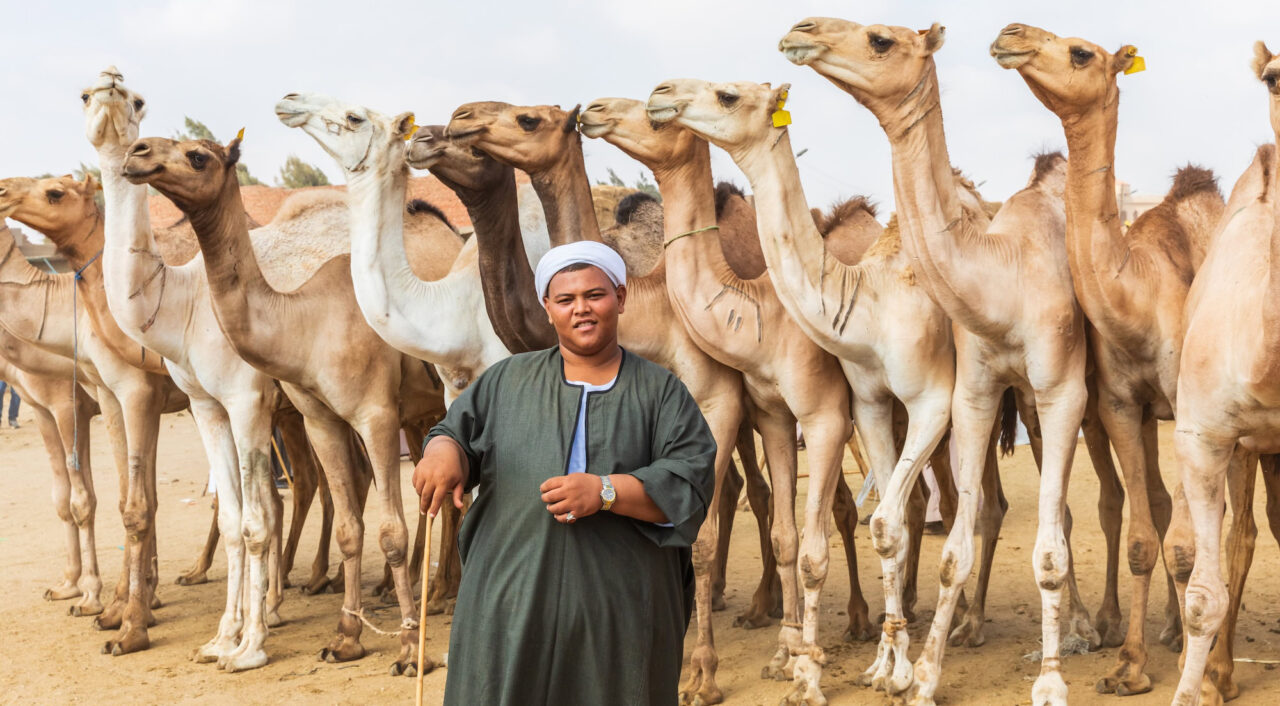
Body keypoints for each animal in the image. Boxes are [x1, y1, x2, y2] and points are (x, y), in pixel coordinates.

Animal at [123, 131, 448, 677]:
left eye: (198, 156)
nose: (136, 153)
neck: (304, 320)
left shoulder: (375, 414)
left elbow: (390, 531)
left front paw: (408, 651)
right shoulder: (320, 418)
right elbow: (351, 528)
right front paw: (345, 639)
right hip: (424, 413)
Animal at [991, 23, 1234, 698]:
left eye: (1080, 52)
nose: (1010, 34)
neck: (1141, 296)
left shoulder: (1190, 411)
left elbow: (1184, 544)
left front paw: (1190, 670)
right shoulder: (1123, 404)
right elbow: (1146, 539)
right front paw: (1128, 664)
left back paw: (1219, 668)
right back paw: (1174, 632)